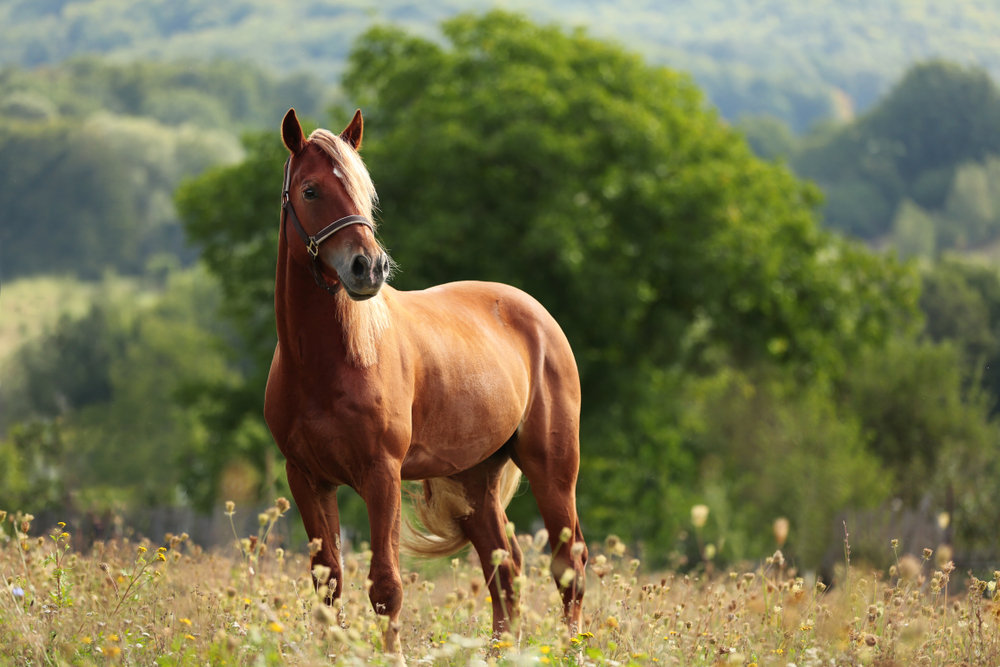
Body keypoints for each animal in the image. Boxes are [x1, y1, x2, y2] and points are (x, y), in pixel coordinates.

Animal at [266, 109, 588, 652]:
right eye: (310, 190)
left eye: (365, 191)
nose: (368, 267)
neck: (323, 365)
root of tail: (538, 315)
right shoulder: (307, 478)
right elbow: (328, 584)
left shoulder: (382, 475)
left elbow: (386, 586)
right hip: (475, 480)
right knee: (505, 567)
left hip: (553, 469)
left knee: (570, 566)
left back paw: (572, 650)